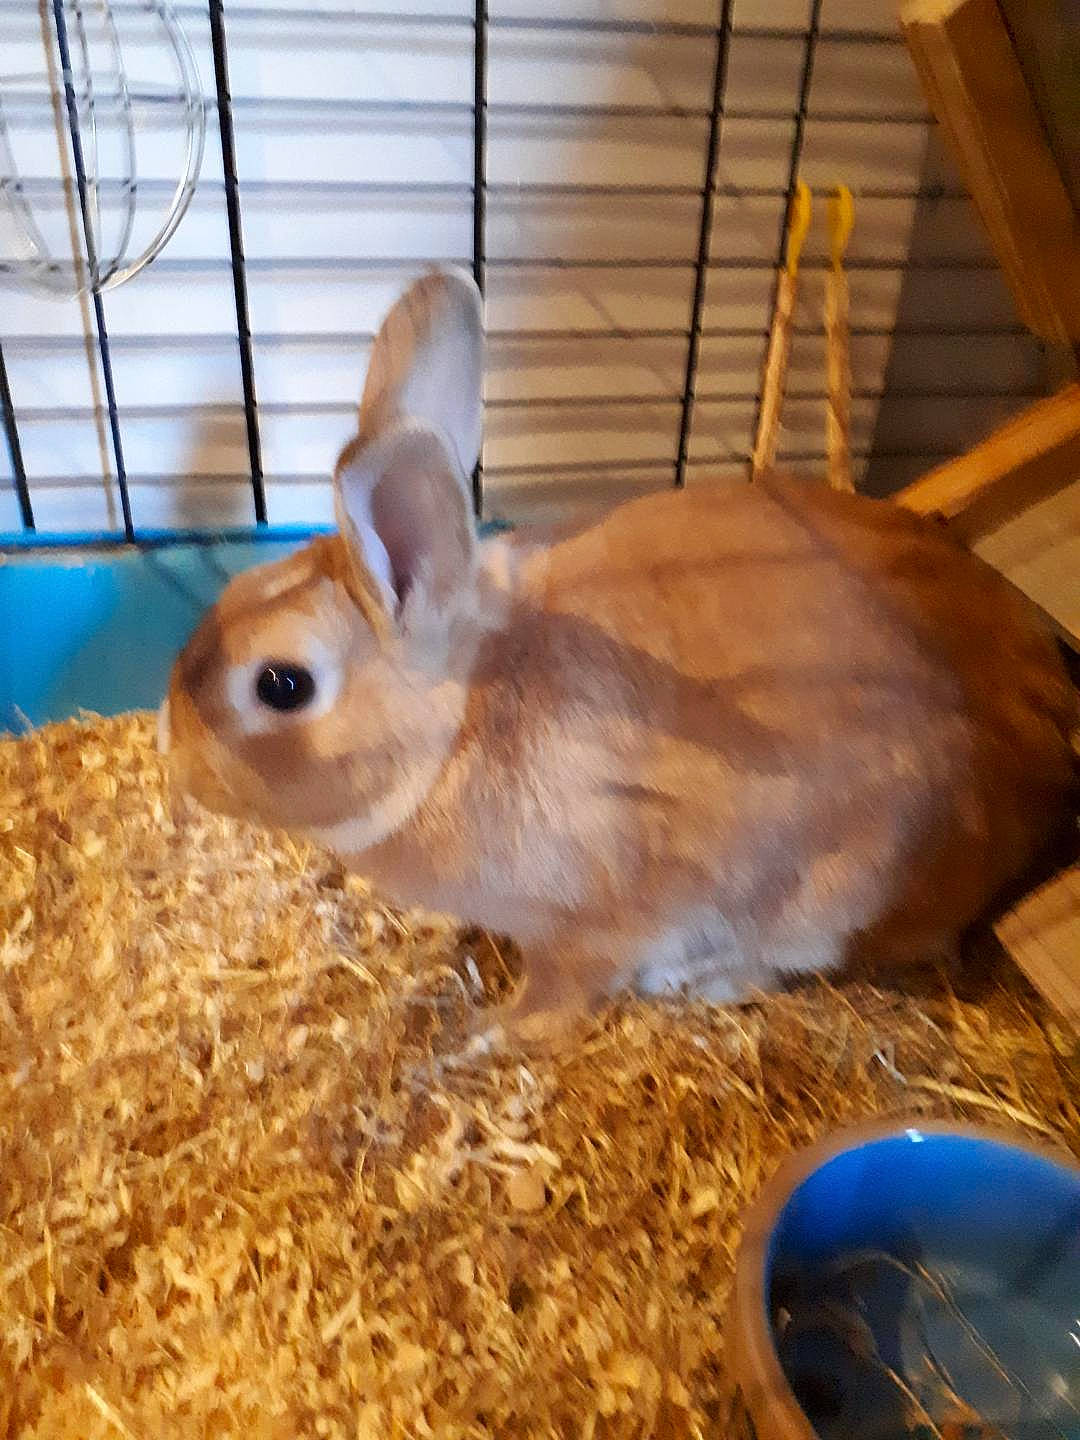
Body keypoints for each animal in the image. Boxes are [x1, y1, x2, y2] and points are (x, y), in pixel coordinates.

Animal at [160, 267, 1078, 1045]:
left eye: (282, 684)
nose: (177, 752)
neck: (459, 729)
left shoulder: (591, 924)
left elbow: (563, 991)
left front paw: (490, 1033)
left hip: (831, 891)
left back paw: (700, 982)